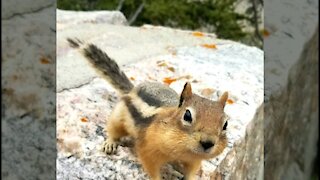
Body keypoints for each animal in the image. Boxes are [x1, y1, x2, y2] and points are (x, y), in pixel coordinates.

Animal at [67, 38, 229, 180]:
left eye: (225, 124)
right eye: (187, 116)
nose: (208, 143)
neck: (183, 150)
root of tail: (133, 89)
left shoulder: (194, 160)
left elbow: (191, 172)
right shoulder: (148, 149)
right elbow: (151, 168)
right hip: (118, 117)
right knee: (113, 130)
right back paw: (110, 143)